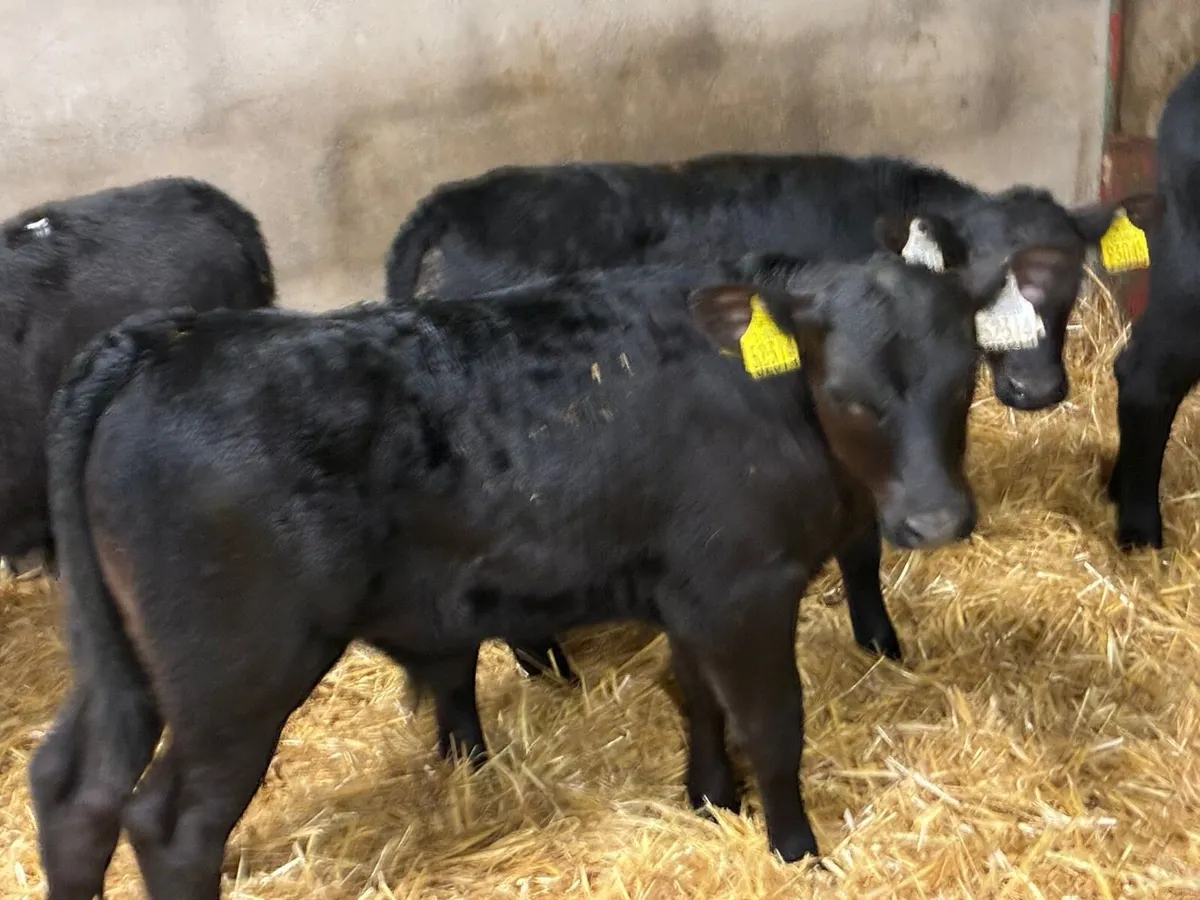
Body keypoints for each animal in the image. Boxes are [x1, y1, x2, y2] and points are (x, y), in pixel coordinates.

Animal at [28, 235, 1072, 896]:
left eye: (962, 380)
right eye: (850, 394)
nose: (937, 520)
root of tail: (166, 337)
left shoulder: (690, 588)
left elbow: (697, 699)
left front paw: (709, 801)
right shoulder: (743, 586)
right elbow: (772, 725)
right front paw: (796, 852)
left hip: (128, 662)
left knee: (73, 787)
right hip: (237, 671)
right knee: (172, 825)